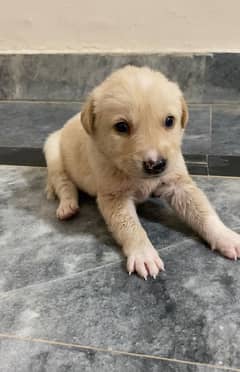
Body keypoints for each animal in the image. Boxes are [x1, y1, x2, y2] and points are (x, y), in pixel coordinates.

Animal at [43, 65, 240, 280]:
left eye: (169, 121)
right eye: (121, 126)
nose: (156, 165)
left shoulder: (178, 183)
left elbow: (204, 212)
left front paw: (226, 236)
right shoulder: (114, 196)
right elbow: (131, 227)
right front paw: (143, 255)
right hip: (52, 150)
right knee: (64, 183)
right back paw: (67, 206)